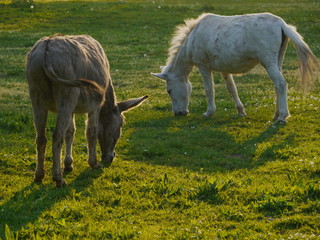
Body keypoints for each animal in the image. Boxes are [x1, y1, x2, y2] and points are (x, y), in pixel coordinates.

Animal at [152, 12, 318, 122]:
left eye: (169, 90)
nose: (179, 113)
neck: (193, 37)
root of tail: (281, 24)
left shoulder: (203, 66)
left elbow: (209, 89)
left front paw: (209, 112)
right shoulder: (224, 69)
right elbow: (232, 89)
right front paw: (241, 111)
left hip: (268, 62)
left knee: (281, 84)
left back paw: (282, 116)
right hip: (277, 62)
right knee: (277, 86)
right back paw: (276, 114)